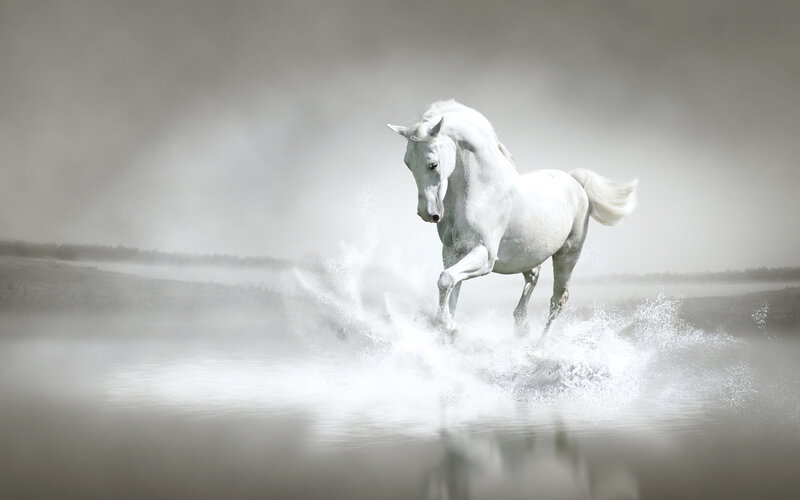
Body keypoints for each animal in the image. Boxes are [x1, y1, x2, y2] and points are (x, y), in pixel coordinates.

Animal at [387, 100, 637, 339]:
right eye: (408, 163)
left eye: (433, 164)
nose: (428, 213)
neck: (483, 191)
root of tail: (575, 181)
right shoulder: (452, 252)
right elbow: (451, 288)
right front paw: (447, 330)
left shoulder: (485, 255)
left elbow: (446, 280)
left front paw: (449, 327)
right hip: (528, 255)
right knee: (534, 277)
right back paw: (521, 327)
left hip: (567, 254)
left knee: (558, 299)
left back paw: (539, 346)